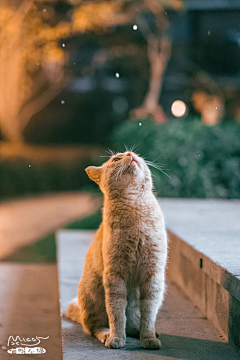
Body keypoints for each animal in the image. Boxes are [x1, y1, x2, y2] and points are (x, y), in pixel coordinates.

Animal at [65, 151, 167, 348]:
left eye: (137, 155)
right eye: (116, 159)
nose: (130, 153)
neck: (135, 207)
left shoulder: (153, 275)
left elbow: (149, 314)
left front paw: (149, 338)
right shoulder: (115, 276)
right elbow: (116, 313)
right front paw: (117, 338)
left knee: (135, 324)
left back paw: (144, 332)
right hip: (92, 297)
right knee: (95, 327)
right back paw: (107, 335)